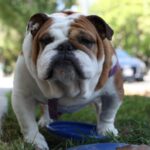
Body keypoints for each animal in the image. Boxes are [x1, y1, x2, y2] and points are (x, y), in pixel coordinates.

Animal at [11, 11, 123, 149]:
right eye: (46, 40)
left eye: (86, 41)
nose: (64, 46)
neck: (68, 85)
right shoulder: (22, 96)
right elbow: (27, 121)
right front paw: (35, 141)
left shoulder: (115, 92)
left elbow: (108, 112)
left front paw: (106, 130)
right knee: (45, 107)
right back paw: (46, 120)